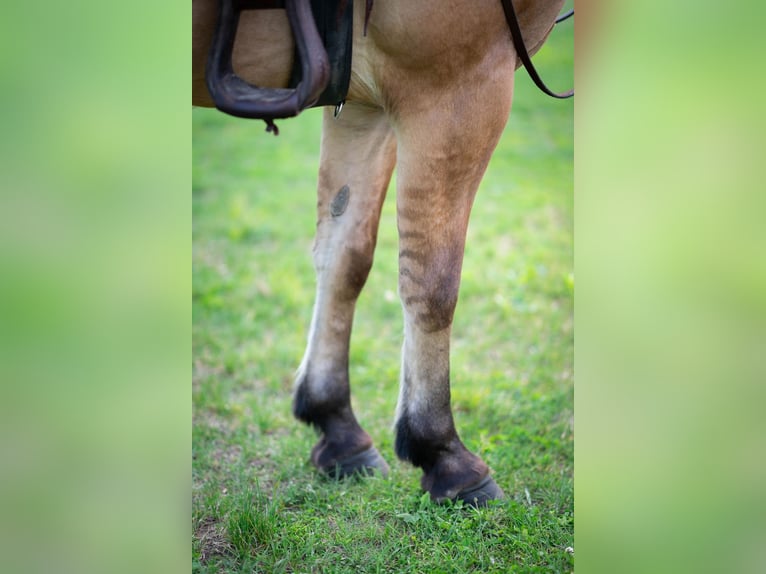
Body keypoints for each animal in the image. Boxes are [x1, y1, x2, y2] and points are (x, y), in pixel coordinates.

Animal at [193, 0, 568, 506]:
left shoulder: (362, 100)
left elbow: (344, 256)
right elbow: (432, 283)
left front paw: (336, 425)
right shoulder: (455, 91)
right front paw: (443, 452)